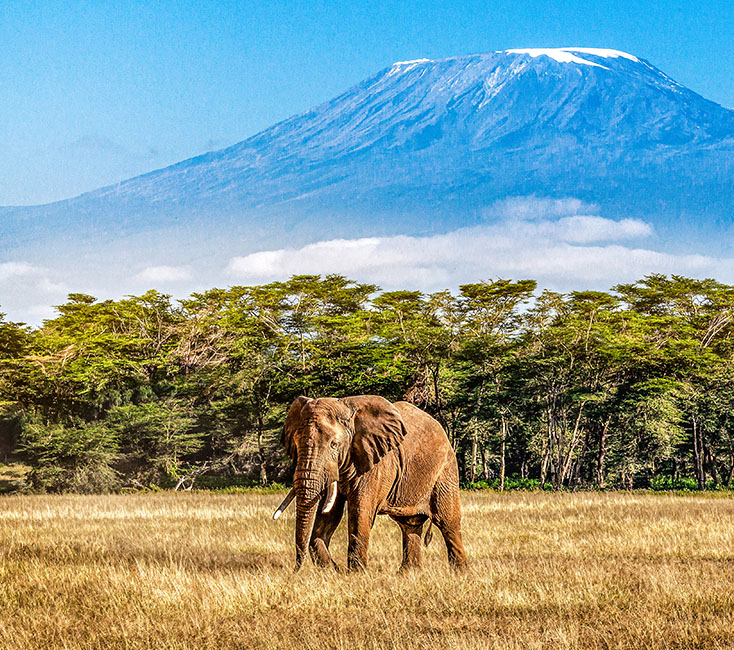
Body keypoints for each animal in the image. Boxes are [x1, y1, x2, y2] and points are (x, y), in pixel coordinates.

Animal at [274, 392, 468, 568]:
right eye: (296, 444)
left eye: (334, 444)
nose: (296, 569)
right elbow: (329, 514)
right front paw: (334, 570)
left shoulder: (377, 462)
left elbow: (360, 512)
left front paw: (355, 575)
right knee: (410, 524)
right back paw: (409, 574)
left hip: (445, 470)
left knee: (447, 522)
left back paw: (459, 573)